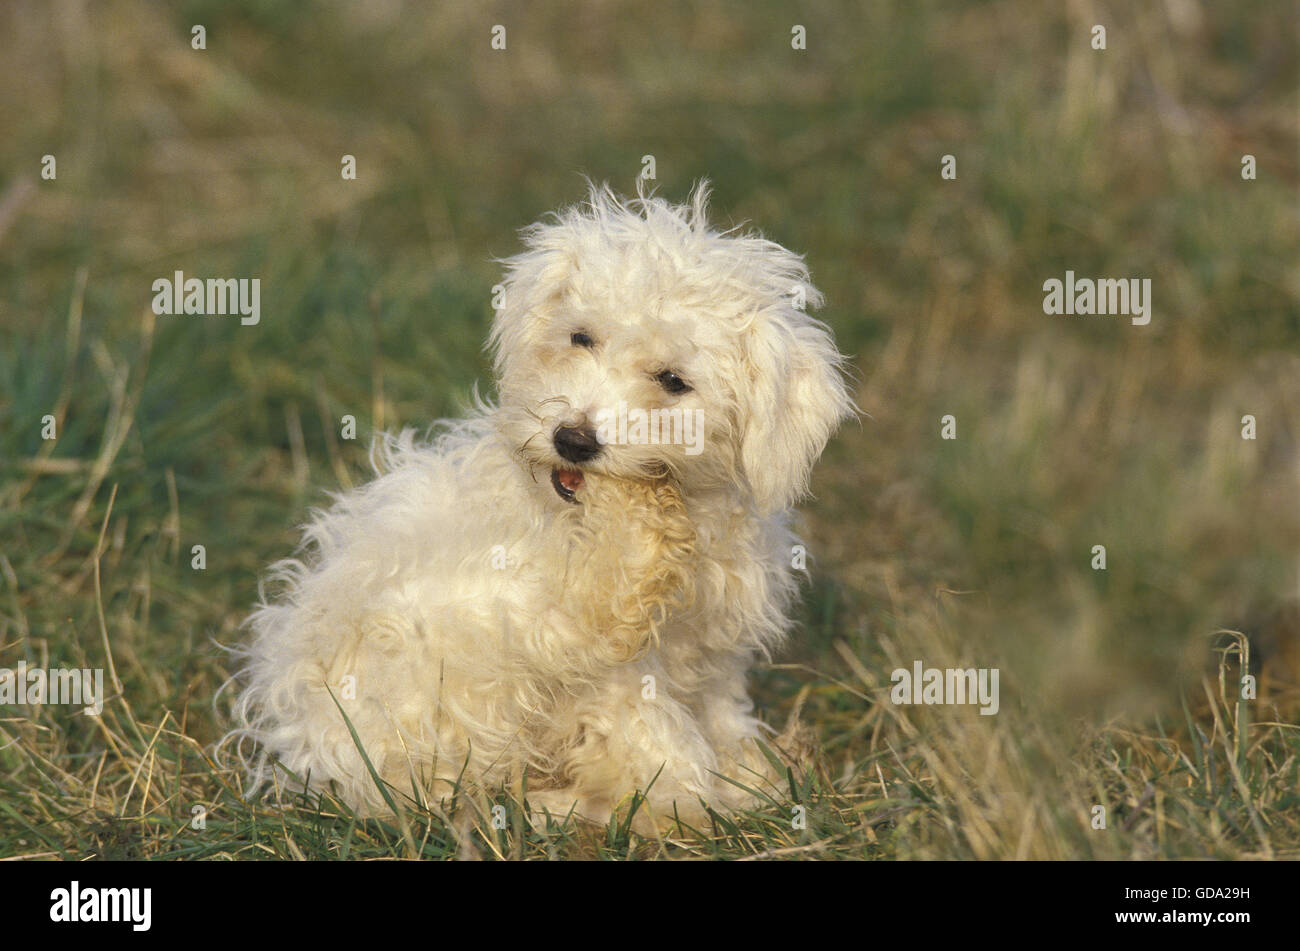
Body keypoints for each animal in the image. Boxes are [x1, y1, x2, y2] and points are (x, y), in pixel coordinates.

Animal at [226, 184, 852, 826]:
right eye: (581, 338)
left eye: (673, 380)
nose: (573, 439)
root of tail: (311, 757)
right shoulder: (596, 658)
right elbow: (660, 737)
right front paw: (692, 797)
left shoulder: (713, 644)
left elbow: (716, 712)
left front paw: (749, 773)